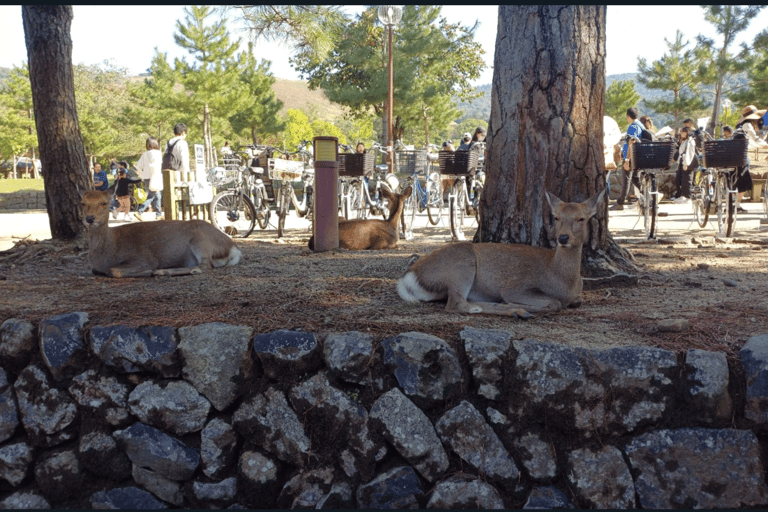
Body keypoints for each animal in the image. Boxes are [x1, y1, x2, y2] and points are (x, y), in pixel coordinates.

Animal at [80, 189, 240, 278]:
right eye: (82, 203)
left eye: (104, 203)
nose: (89, 218)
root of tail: (234, 247)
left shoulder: (143, 257)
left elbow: (113, 270)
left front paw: (149, 272)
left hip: (201, 241)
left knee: (205, 266)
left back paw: (163, 272)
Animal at [396, 190, 608, 318]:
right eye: (556, 217)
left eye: (581, 218)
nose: (563, 238)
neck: (564, 282)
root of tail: (409, 276)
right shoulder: (516, 287)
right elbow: (554, 303)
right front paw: (517, 307)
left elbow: (575, 302)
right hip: (461, 266)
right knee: (457, 304)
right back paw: (514, 310)